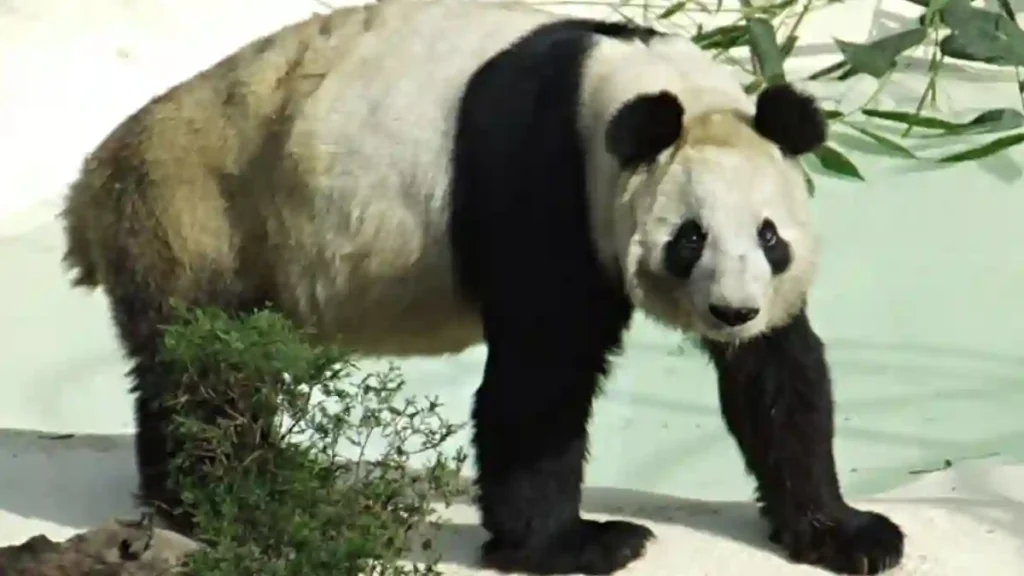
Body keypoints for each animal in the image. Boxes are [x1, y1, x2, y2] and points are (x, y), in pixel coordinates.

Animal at [59, 1, 904, 574]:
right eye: (688, 239)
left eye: (770, 237)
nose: (732, 310)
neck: (640, 89)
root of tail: (89, 190)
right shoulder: (546, 173)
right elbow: (540, 378)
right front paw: (581, 542)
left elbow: (778, 375)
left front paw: (848, 533)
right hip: (198, 212)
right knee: (204, 374)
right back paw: (224, 496)